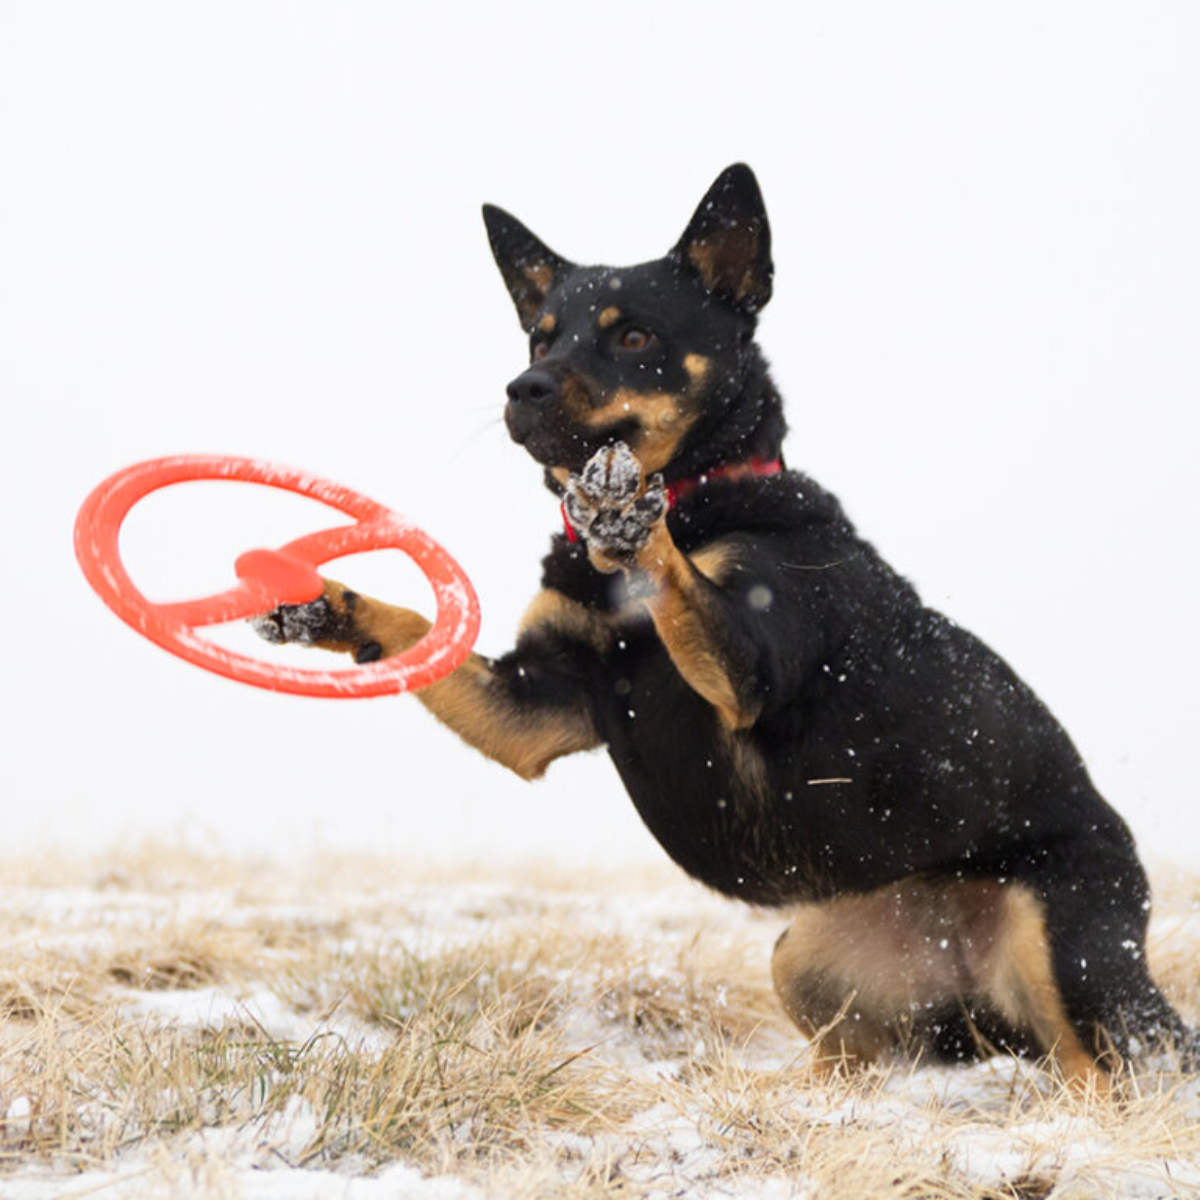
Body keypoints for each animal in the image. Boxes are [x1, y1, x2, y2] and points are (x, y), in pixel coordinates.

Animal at [253, 162, 1190, 1089]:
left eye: (634, 337)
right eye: (539, 341)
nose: (522, 390)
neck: (704, 494)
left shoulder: (748, 668)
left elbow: (677, 576)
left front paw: (626, 510)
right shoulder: (534, 710)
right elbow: (415, 625)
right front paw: (325, 605)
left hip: (1059, 943)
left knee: (1102, 1070)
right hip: (810, 958)